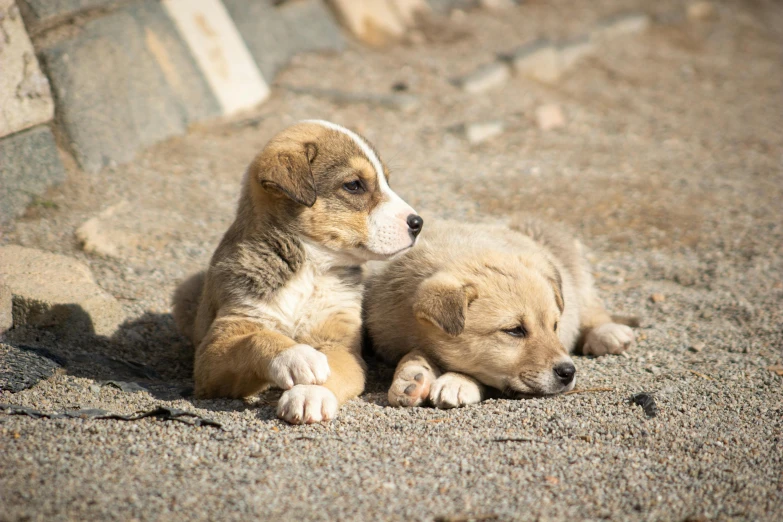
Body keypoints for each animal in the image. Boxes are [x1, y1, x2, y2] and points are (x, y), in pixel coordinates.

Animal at [175, 121, 426, 422]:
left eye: (386, 181)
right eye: (354, 185)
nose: (418, 223)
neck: (309, 269)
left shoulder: (340, 344)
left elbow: (332, 373)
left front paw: (309, 395)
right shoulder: (215, 348)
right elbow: (255, 338)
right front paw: (296, 356)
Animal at [366, 217, 636, 408]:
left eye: (554, 327)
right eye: (514, 331)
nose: (568, 372)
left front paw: (456, 382)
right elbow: (416, 353)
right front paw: (412, 378)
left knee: (589, 305)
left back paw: (609, 334)